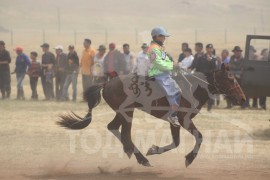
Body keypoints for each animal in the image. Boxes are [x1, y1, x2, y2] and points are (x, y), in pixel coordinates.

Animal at [58, 63, 246, 167]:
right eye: (231, 79)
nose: (243, 98)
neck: (192, 88)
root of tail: (107, 83)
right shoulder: (184, 120)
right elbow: (199, 137)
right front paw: (189, 158)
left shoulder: (175, 122)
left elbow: (176, 142)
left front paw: (154, 149)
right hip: (127, 112)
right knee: (125, 133)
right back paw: (141, 159)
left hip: (122, 112)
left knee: (113, 127)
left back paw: (133, 153)